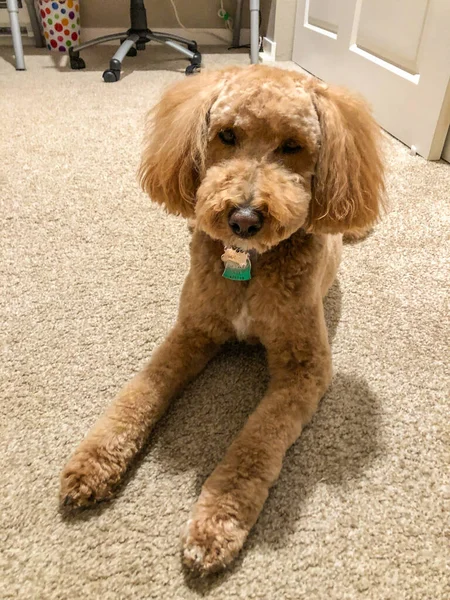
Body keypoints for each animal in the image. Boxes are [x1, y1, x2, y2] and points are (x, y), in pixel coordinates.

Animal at [59, 64, 384, 572]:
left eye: (293, 145)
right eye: (226, 135)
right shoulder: (192, 332)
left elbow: (256, 444)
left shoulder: (304, 369)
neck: (248, 263)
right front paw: (92, 463)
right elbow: (138, 395)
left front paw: (217, 521)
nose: (244, 217)